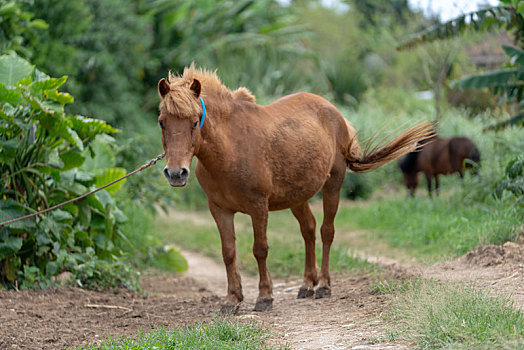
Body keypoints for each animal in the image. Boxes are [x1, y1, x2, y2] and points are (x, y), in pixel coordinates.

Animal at [156, 65, 434, 312]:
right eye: (162, 122)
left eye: (194, 123)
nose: (176, 173)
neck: (230, 148)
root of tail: (334, 112)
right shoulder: (219, 209)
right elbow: (228, 253)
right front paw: (232, 299)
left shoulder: (258, 207)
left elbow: (260, 250)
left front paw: (264, 297)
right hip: (297, 197)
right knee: (308, 230)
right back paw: (307, 284)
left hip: (333, 185)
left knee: (326, 232)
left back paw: (323, 286)